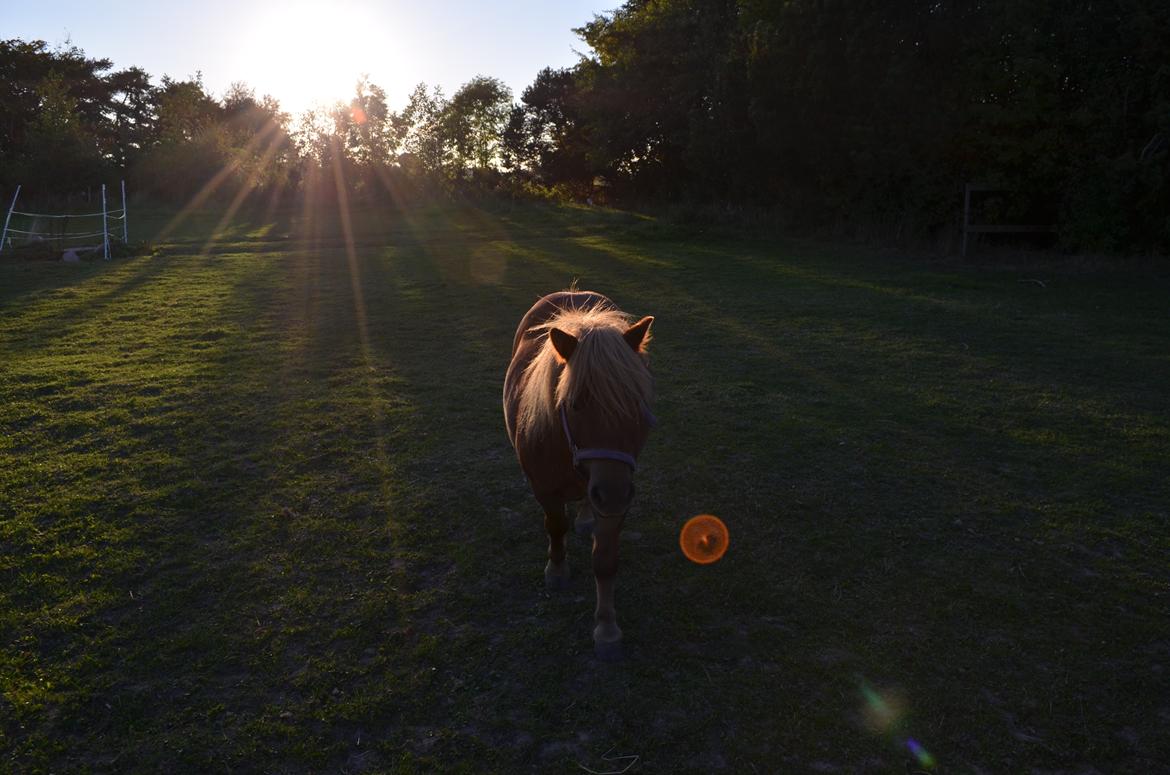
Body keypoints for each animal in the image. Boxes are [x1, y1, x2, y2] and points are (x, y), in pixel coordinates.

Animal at [500, 291, 655, 660]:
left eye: (637, 401)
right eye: (573, 404)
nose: (612, 493)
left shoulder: (616, 497)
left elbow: (605, 560)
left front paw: (607, 629)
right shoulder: (544, 489)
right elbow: (556, 527)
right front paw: (557, 572)